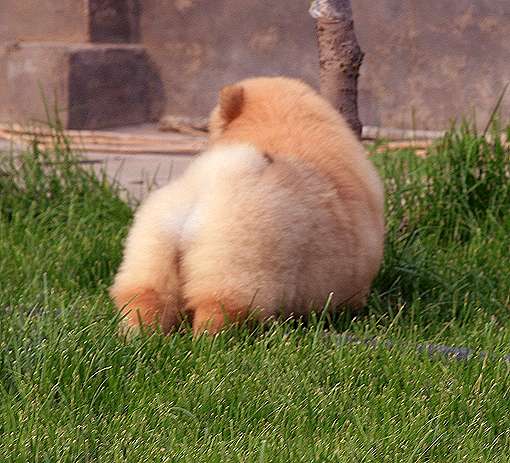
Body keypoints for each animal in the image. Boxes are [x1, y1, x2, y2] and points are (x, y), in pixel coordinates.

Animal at [110, 77, 382, 338]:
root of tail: (203, 187)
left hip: (152, 248)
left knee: (146, 299)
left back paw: (140, 338)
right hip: (237, 261)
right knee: (219, 307)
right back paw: (212, 341)